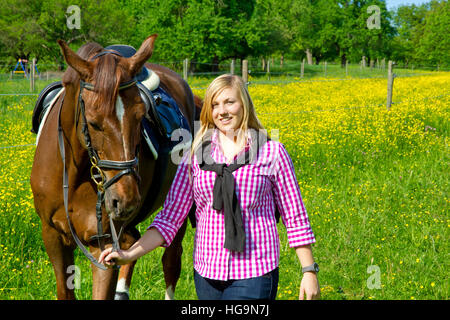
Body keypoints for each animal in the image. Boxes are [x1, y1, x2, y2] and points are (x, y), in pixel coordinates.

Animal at [29, 35, 196, 300]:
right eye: (94, 122)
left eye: (141, 116)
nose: (125, 200)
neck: (73, 174)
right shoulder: (53, 237)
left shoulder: (103, 247)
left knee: (171, 260)